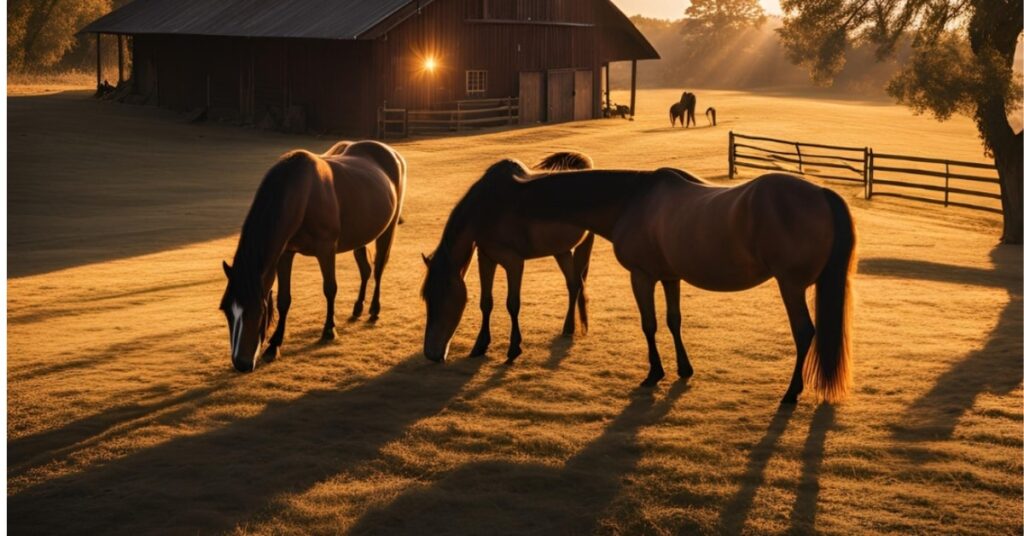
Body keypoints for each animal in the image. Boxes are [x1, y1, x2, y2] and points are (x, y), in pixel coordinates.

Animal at [222, 140, 405, 370]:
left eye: (259, 311)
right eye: (226, 310)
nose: (241, 363)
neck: (302, 195)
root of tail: (390, 152)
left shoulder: (326, 249)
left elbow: (330, 288)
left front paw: (329, 330)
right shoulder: (285, 253)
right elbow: (284, 299)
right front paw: (275, 344)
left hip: (388, 229)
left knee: (379, 268)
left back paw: (374, 309)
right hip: (360, 234)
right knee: (366, 270)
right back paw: (357, 308)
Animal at [421, 152, 598, 366]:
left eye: (444, 297)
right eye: (426, 297)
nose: (431, 354)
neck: (487, 209)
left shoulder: (514, 263)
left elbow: (512, 304)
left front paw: (513, 349)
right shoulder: (486, 259)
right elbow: (486, 302)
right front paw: (480, 345)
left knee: (577, 284)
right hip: (561, 251)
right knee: (573, 284)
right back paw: (568, 328)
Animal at [483, 161, 851, 405]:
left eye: (504, 201)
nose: (491, 242)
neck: (630, 202)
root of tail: (820, 193)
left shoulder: (641, 276)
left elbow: (649, 324)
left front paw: (654, 373)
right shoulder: (670, 277)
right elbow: (674, 321)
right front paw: (684, 369)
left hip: (791, 286)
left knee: (803, 332)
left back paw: (791, 392)